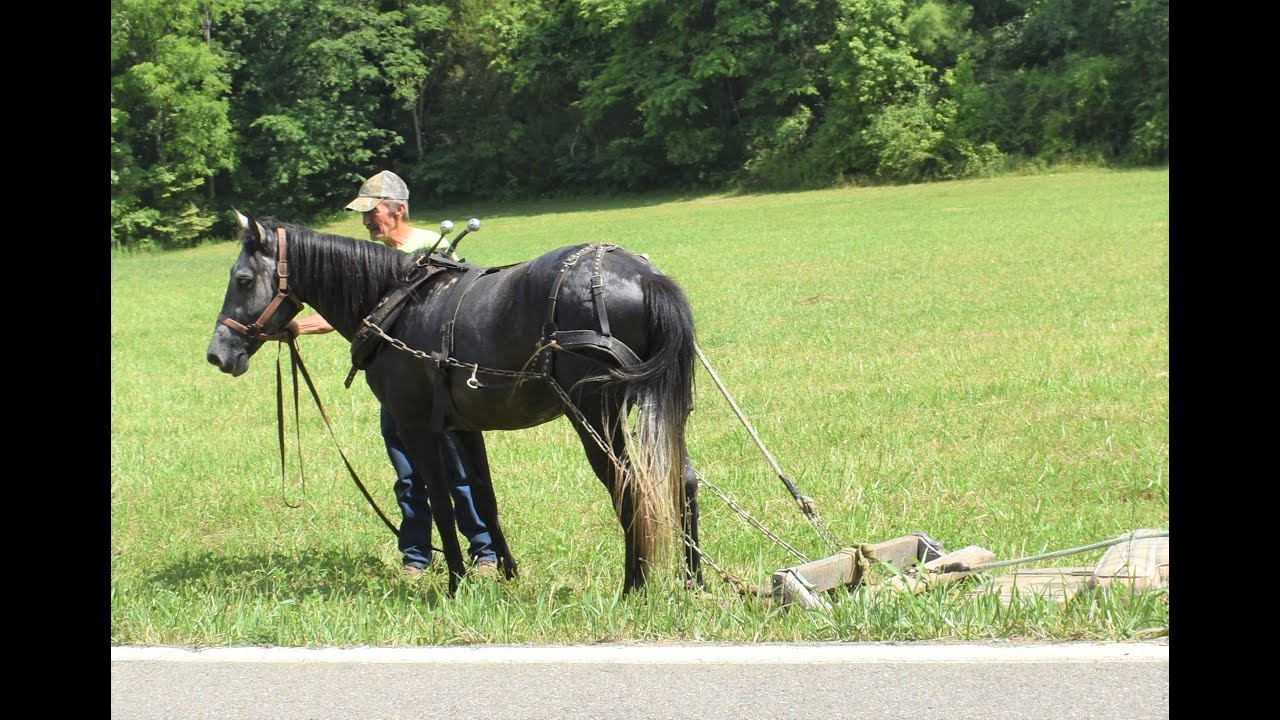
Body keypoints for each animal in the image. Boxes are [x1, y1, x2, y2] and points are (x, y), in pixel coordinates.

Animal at [206, 211, 703, 595]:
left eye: (243, 279)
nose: (217, 353)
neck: (396, 302)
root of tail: (644, 276)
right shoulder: (464, 427)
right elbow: (484, 497)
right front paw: (507, 573)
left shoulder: (417, 428)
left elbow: (442, 503)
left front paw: (455, 584)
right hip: (661, 409)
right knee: (683, 480)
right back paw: (693, 581)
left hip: (595, 416)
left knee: (630, 485)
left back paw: (633, 586)